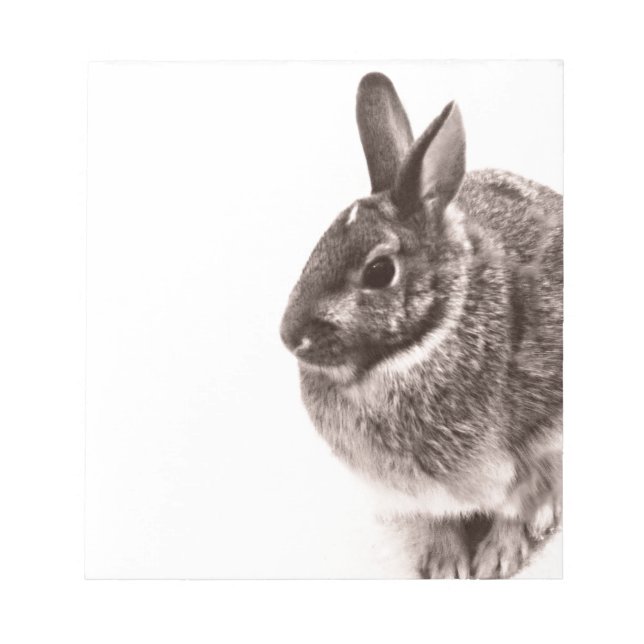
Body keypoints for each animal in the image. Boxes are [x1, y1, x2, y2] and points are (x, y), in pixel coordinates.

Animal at [280, 72, 562, 579]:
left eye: (379, 272)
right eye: (318, 247)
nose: (290, 337)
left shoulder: (534, 443)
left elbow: (518, 503)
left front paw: (496, 559)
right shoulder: (419, 492)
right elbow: (438, 519)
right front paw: (445, 564)